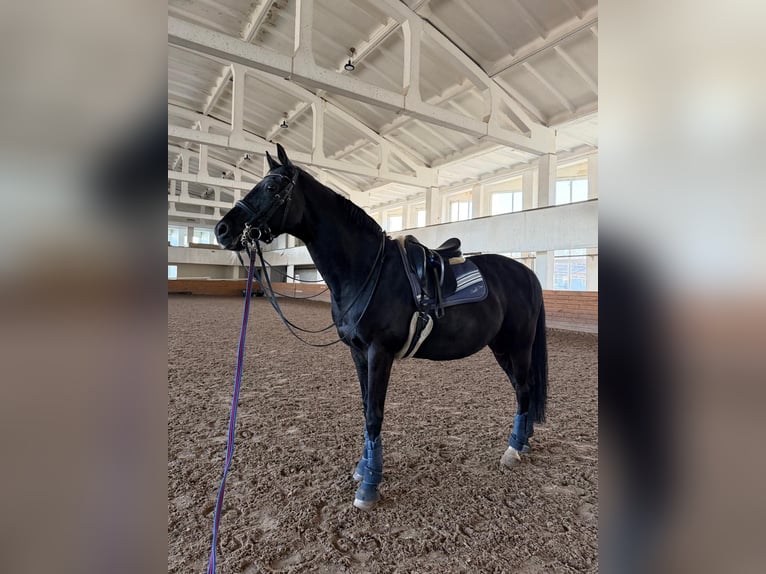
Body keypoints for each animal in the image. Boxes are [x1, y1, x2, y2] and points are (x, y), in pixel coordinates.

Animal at [214, 144, 548, 510]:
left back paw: (513, 449)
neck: (365, 270)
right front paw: (363, 469)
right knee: (523, 389)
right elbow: (365, 409)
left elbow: (375, 414)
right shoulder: (358, 353)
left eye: (272, 187)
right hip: (501, 347)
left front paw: (369, 487)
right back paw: (523, 441)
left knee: (523, 389)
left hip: (518, 345)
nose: (222, 230)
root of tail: (526, 273)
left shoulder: (379, 352)